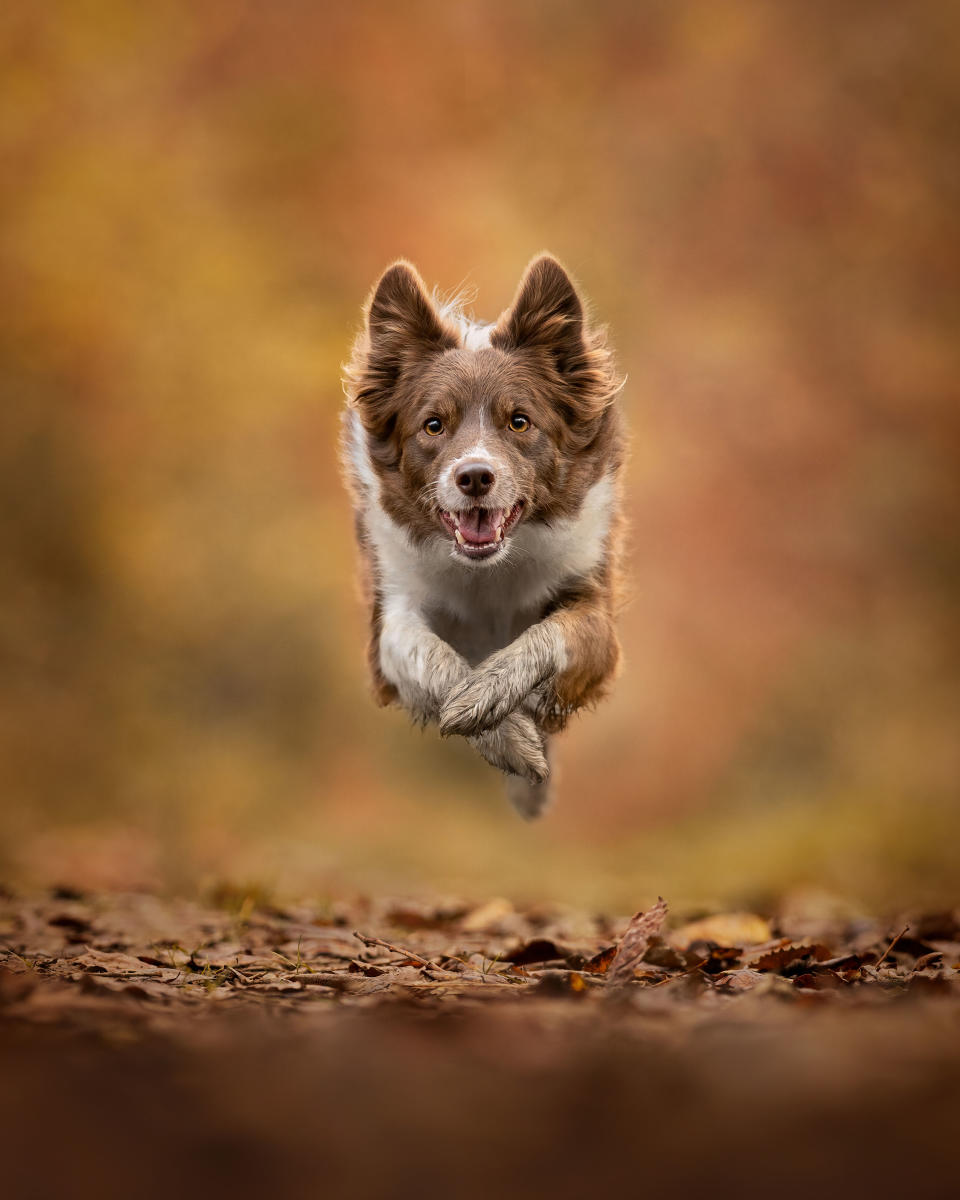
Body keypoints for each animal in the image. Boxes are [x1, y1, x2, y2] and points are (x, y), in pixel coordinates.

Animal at [340, 252, 624, 816]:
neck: (489, 569)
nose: (474, 477)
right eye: (433, 425)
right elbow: (430, 658)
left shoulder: (595, 611)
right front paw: (503, 734)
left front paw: (491, 698)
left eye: (519, 421)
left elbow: (547, 636)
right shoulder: (392, 615)